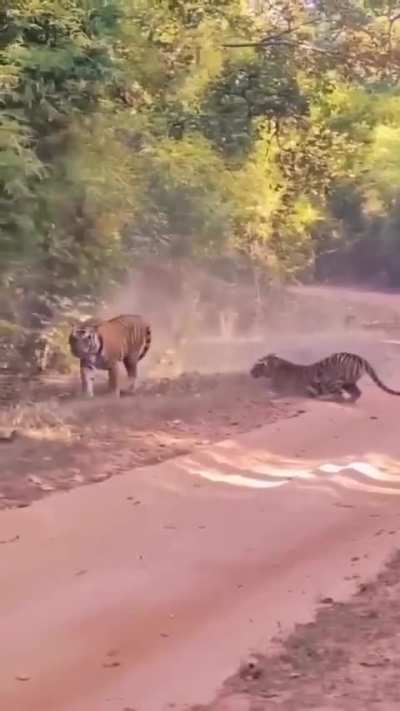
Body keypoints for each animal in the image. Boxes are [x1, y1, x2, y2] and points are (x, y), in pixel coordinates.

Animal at [250, 351, 400, 402]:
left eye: (257, 365)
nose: (250, 372)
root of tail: (358, 357)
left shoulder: (281, 389)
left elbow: (268, 392)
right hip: (349, 383)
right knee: (356, 393)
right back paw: (349, 401)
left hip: (332, 381)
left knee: (339, 395)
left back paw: (324, 398)